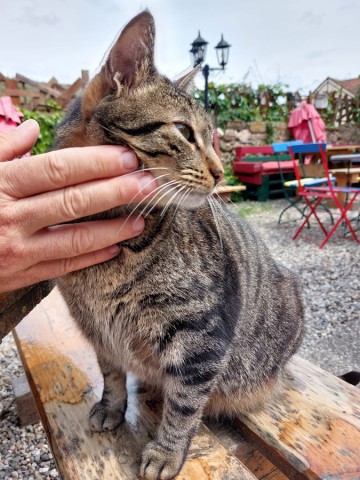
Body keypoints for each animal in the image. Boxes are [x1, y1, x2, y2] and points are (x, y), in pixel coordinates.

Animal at [55, 11, 304, 480]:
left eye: (213, 136)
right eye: (186, 132)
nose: (221, 170)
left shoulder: (201, 339)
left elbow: (185, 405)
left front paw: (167, 453)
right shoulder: (98, 330)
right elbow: (111, 374)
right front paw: (111, 407)